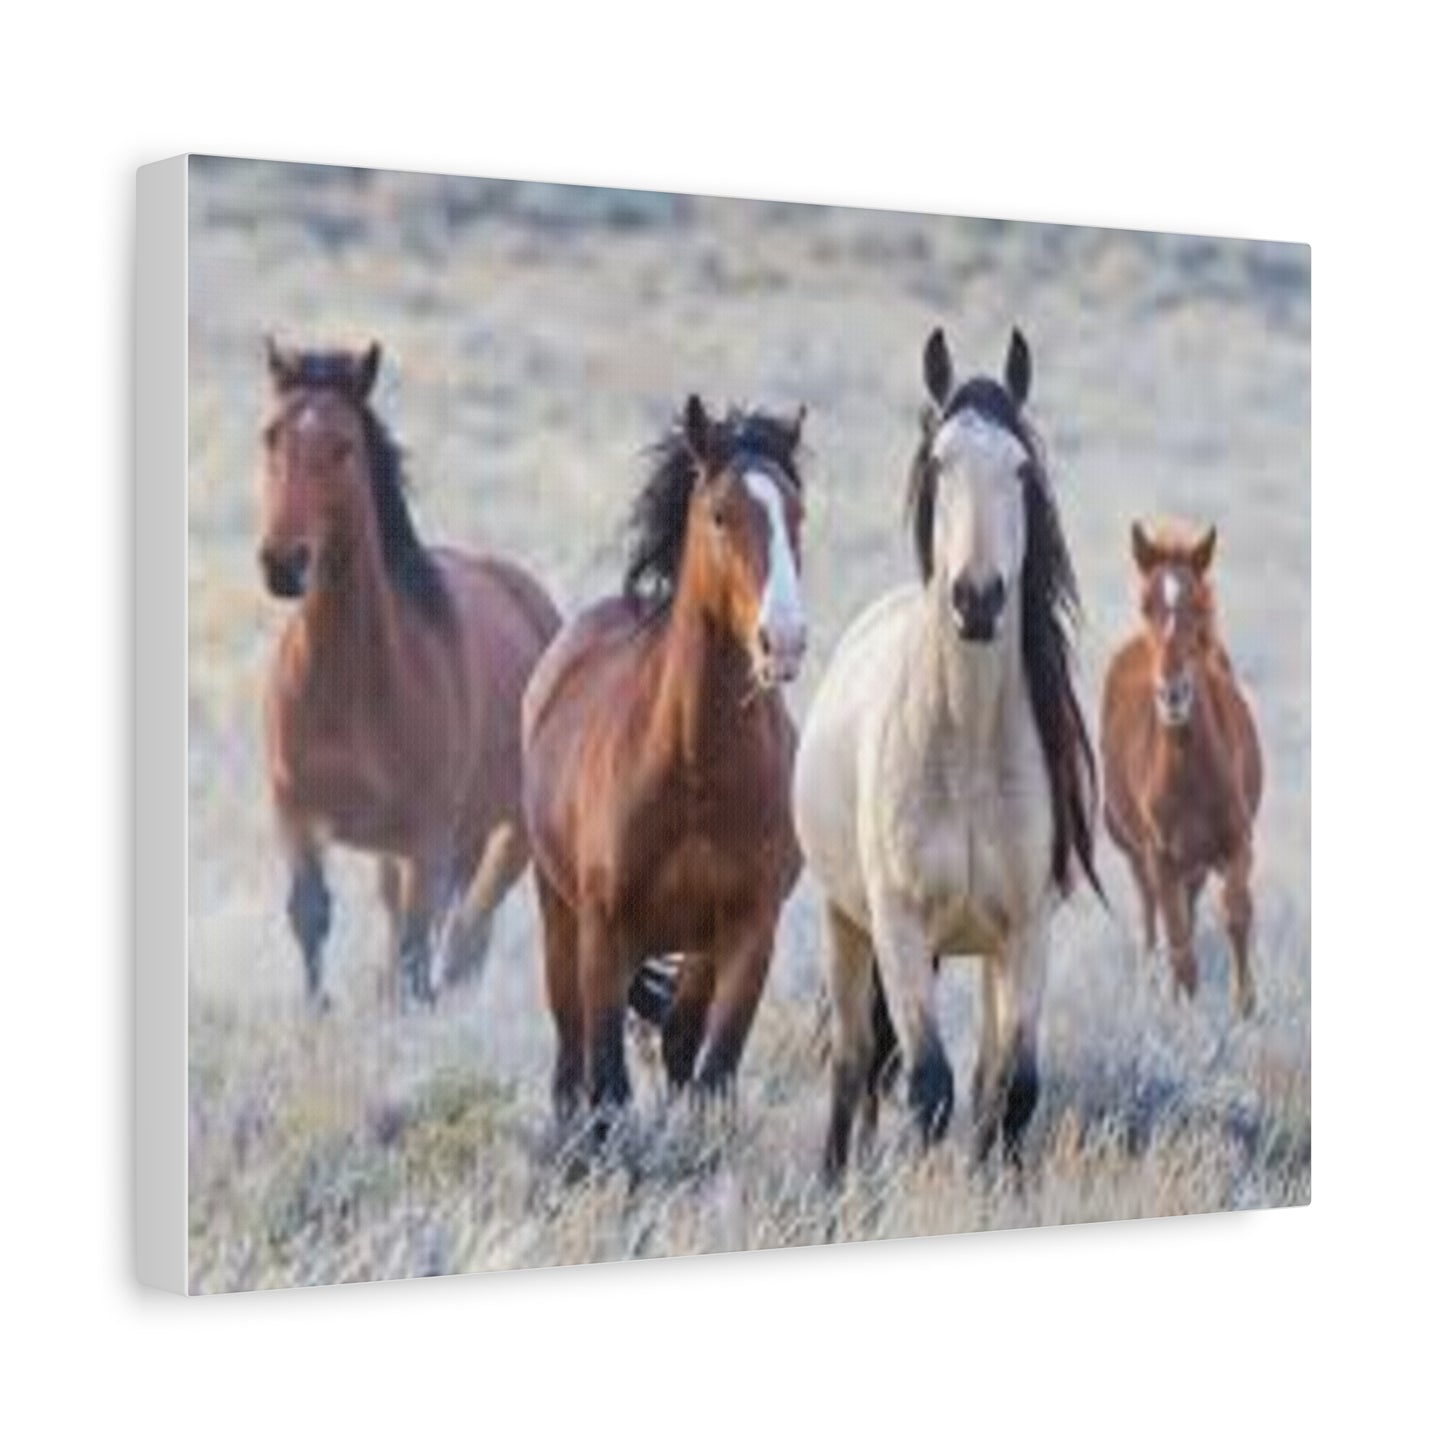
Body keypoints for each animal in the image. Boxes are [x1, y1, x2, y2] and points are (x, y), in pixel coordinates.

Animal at [256, 339, 560, 1009]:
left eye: (343, 444)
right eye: (270, 436)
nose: (283, 564)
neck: (347, 686)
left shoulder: (427, 839)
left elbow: (422, 949)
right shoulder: (295, 816)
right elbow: (310, 915)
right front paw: (317, 1013)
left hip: (506, 835)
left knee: (466, 937)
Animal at [521, 395, 808, 1133]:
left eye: (797, 514)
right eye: (719, 515)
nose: (785, 639)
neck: (695, 770)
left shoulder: (748, 931)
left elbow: (712, 1071)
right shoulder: (604, 930)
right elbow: (607, 1083)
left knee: (679, 1041)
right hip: (559, 913)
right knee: (570, 1057)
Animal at [794, 327, 1099, 1179]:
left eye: (1021, 469)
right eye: (938, 462)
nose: (976, 598)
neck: (964, 749)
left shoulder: (1026, 931)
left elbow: (1011, 1090)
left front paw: (996, 1187)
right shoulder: (897, 927)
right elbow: (927, 1086)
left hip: (986, 955)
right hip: (846, 923)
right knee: (855, 1061)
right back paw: (836, 1182)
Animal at [1100, 522, 1263, 1018]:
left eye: (1199, 605)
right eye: (1146, 604)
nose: (1173, 694)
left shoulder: (1236, 841)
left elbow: (1236, 913)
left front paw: (1246, 1007)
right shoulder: (1161, 856)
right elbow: (1178, 943)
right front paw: (1186, 1017)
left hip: (1196, 862)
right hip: (1140, 856)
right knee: (1154, 922)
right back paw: (1155, 990)